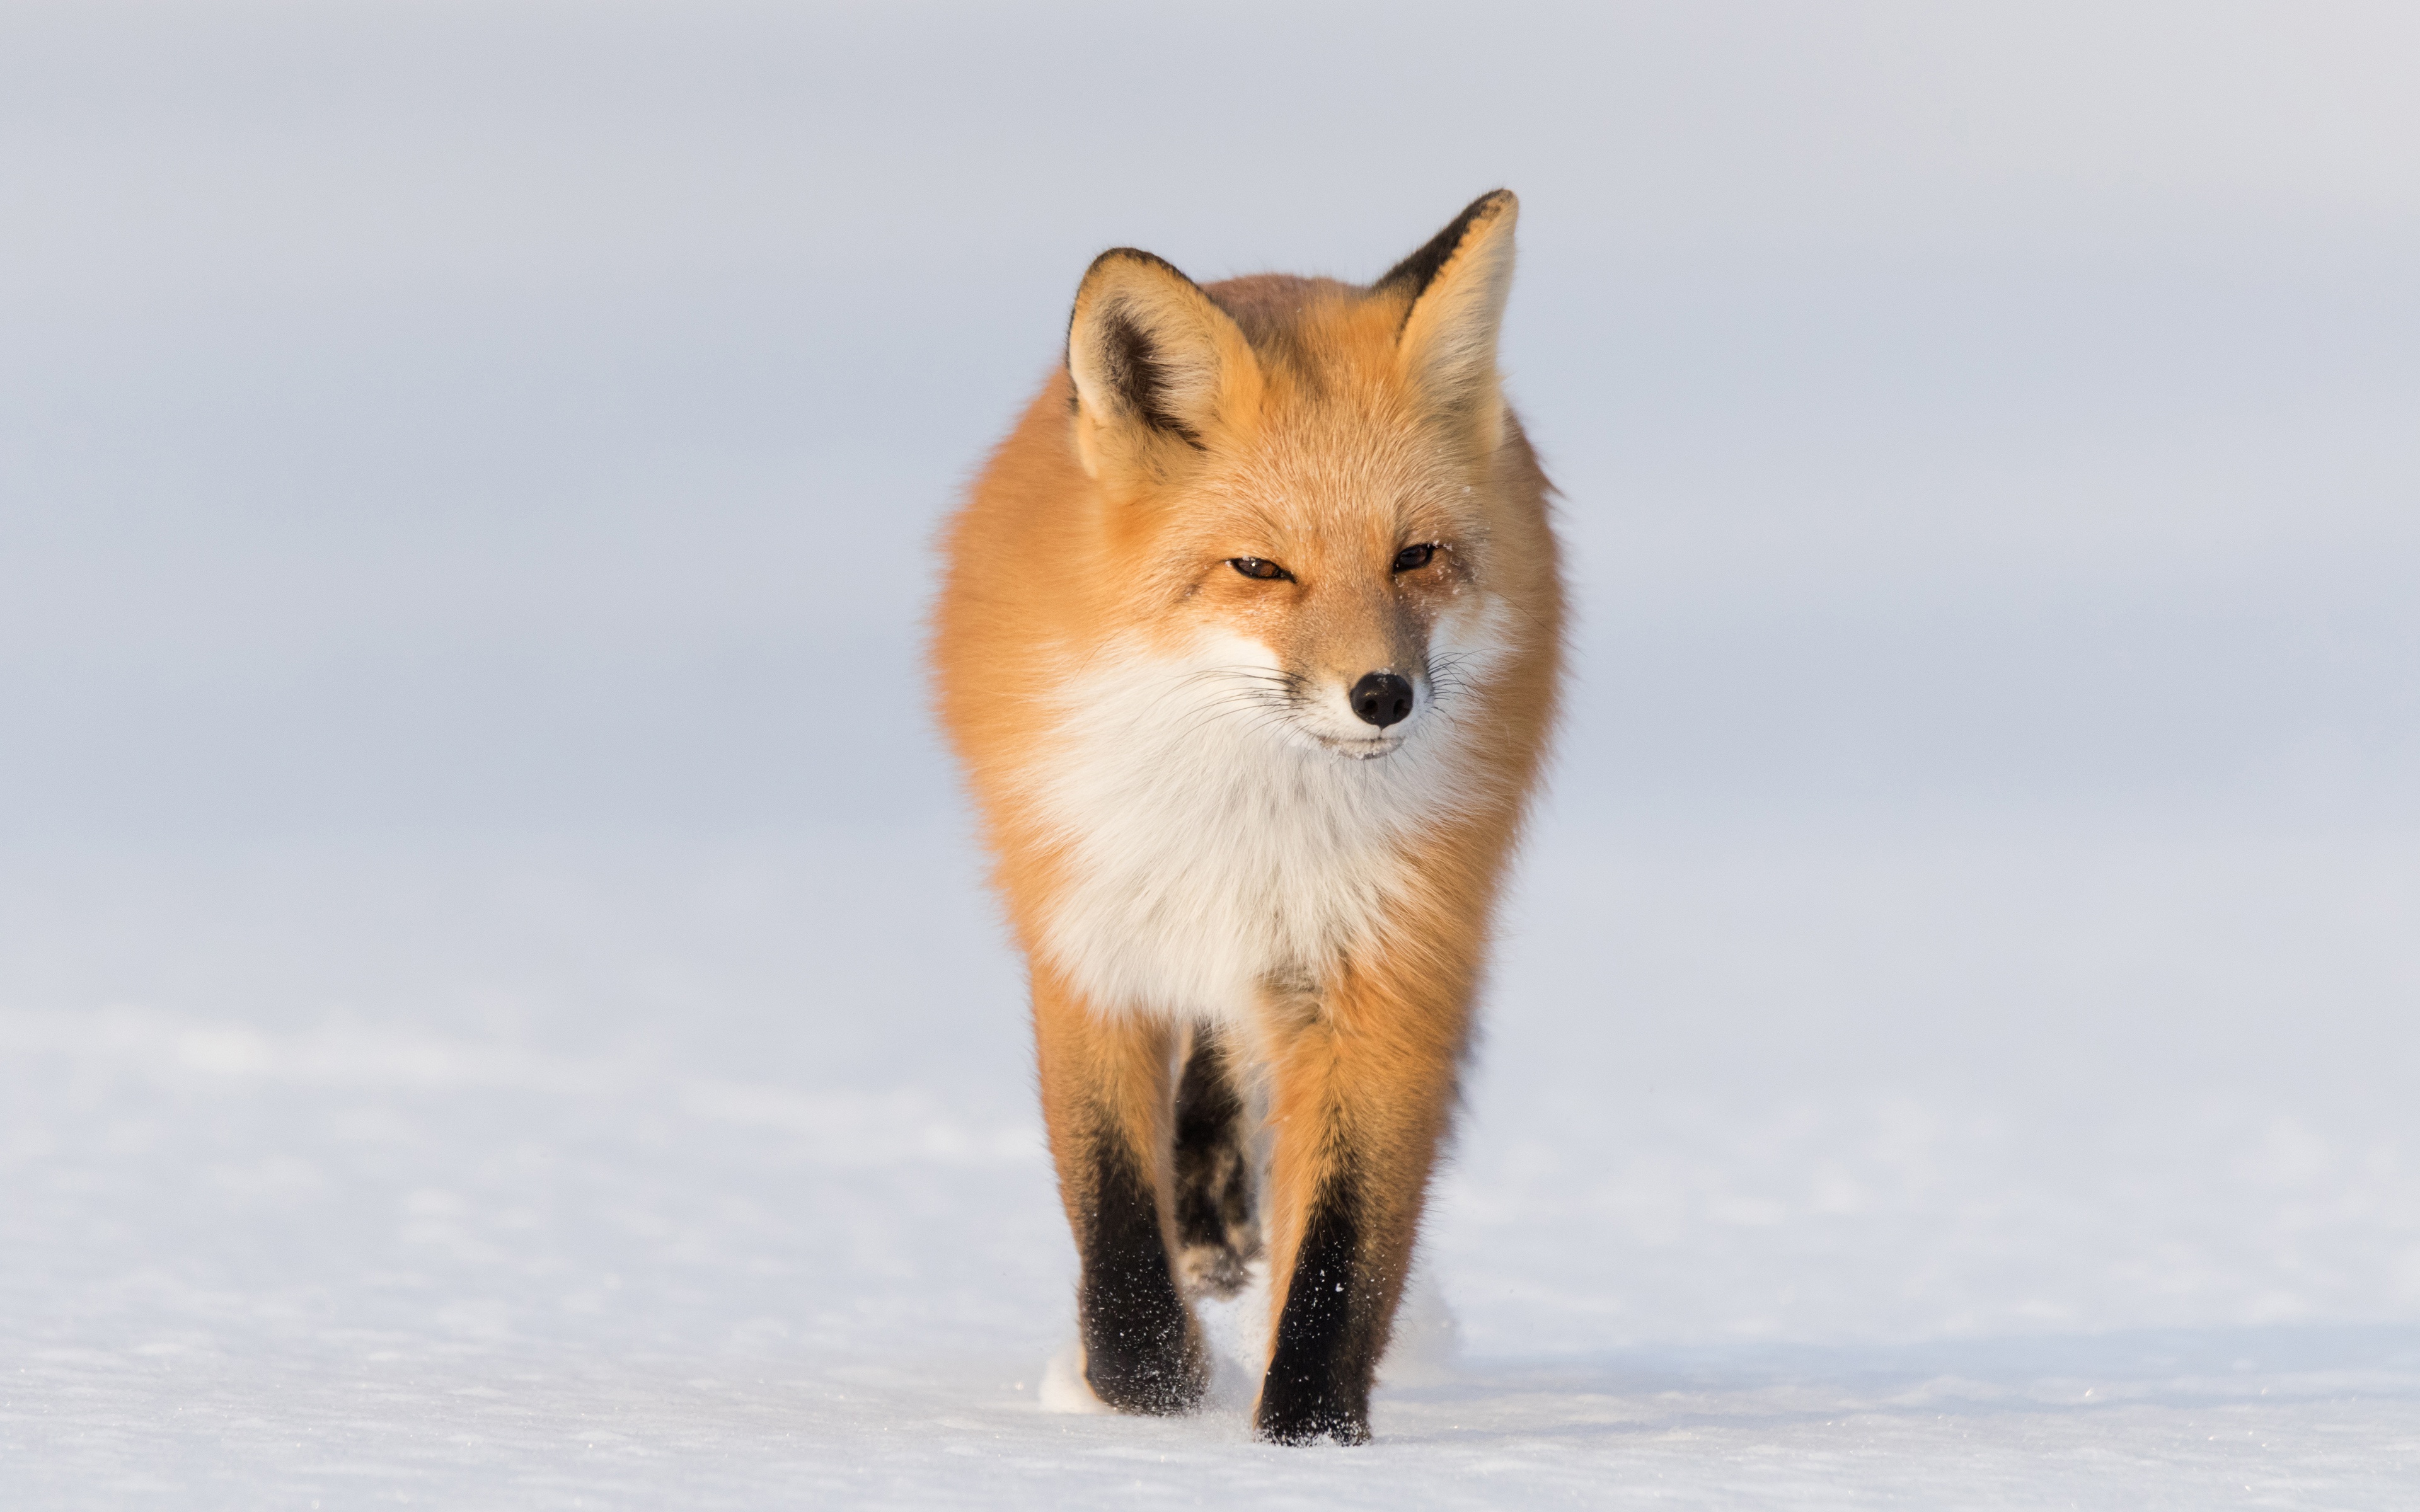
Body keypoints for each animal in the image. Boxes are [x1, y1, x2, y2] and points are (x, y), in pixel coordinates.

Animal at [924, 195, 1568, 1441]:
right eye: (1260, 569)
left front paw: (1306, 1439)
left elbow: (1342, 1250)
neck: (1253, 811)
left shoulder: (1387, 966)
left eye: (1416, 556)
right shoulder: (1091, 938)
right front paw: (1147, 1392)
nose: (1383, 695)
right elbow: (1114, 1205)